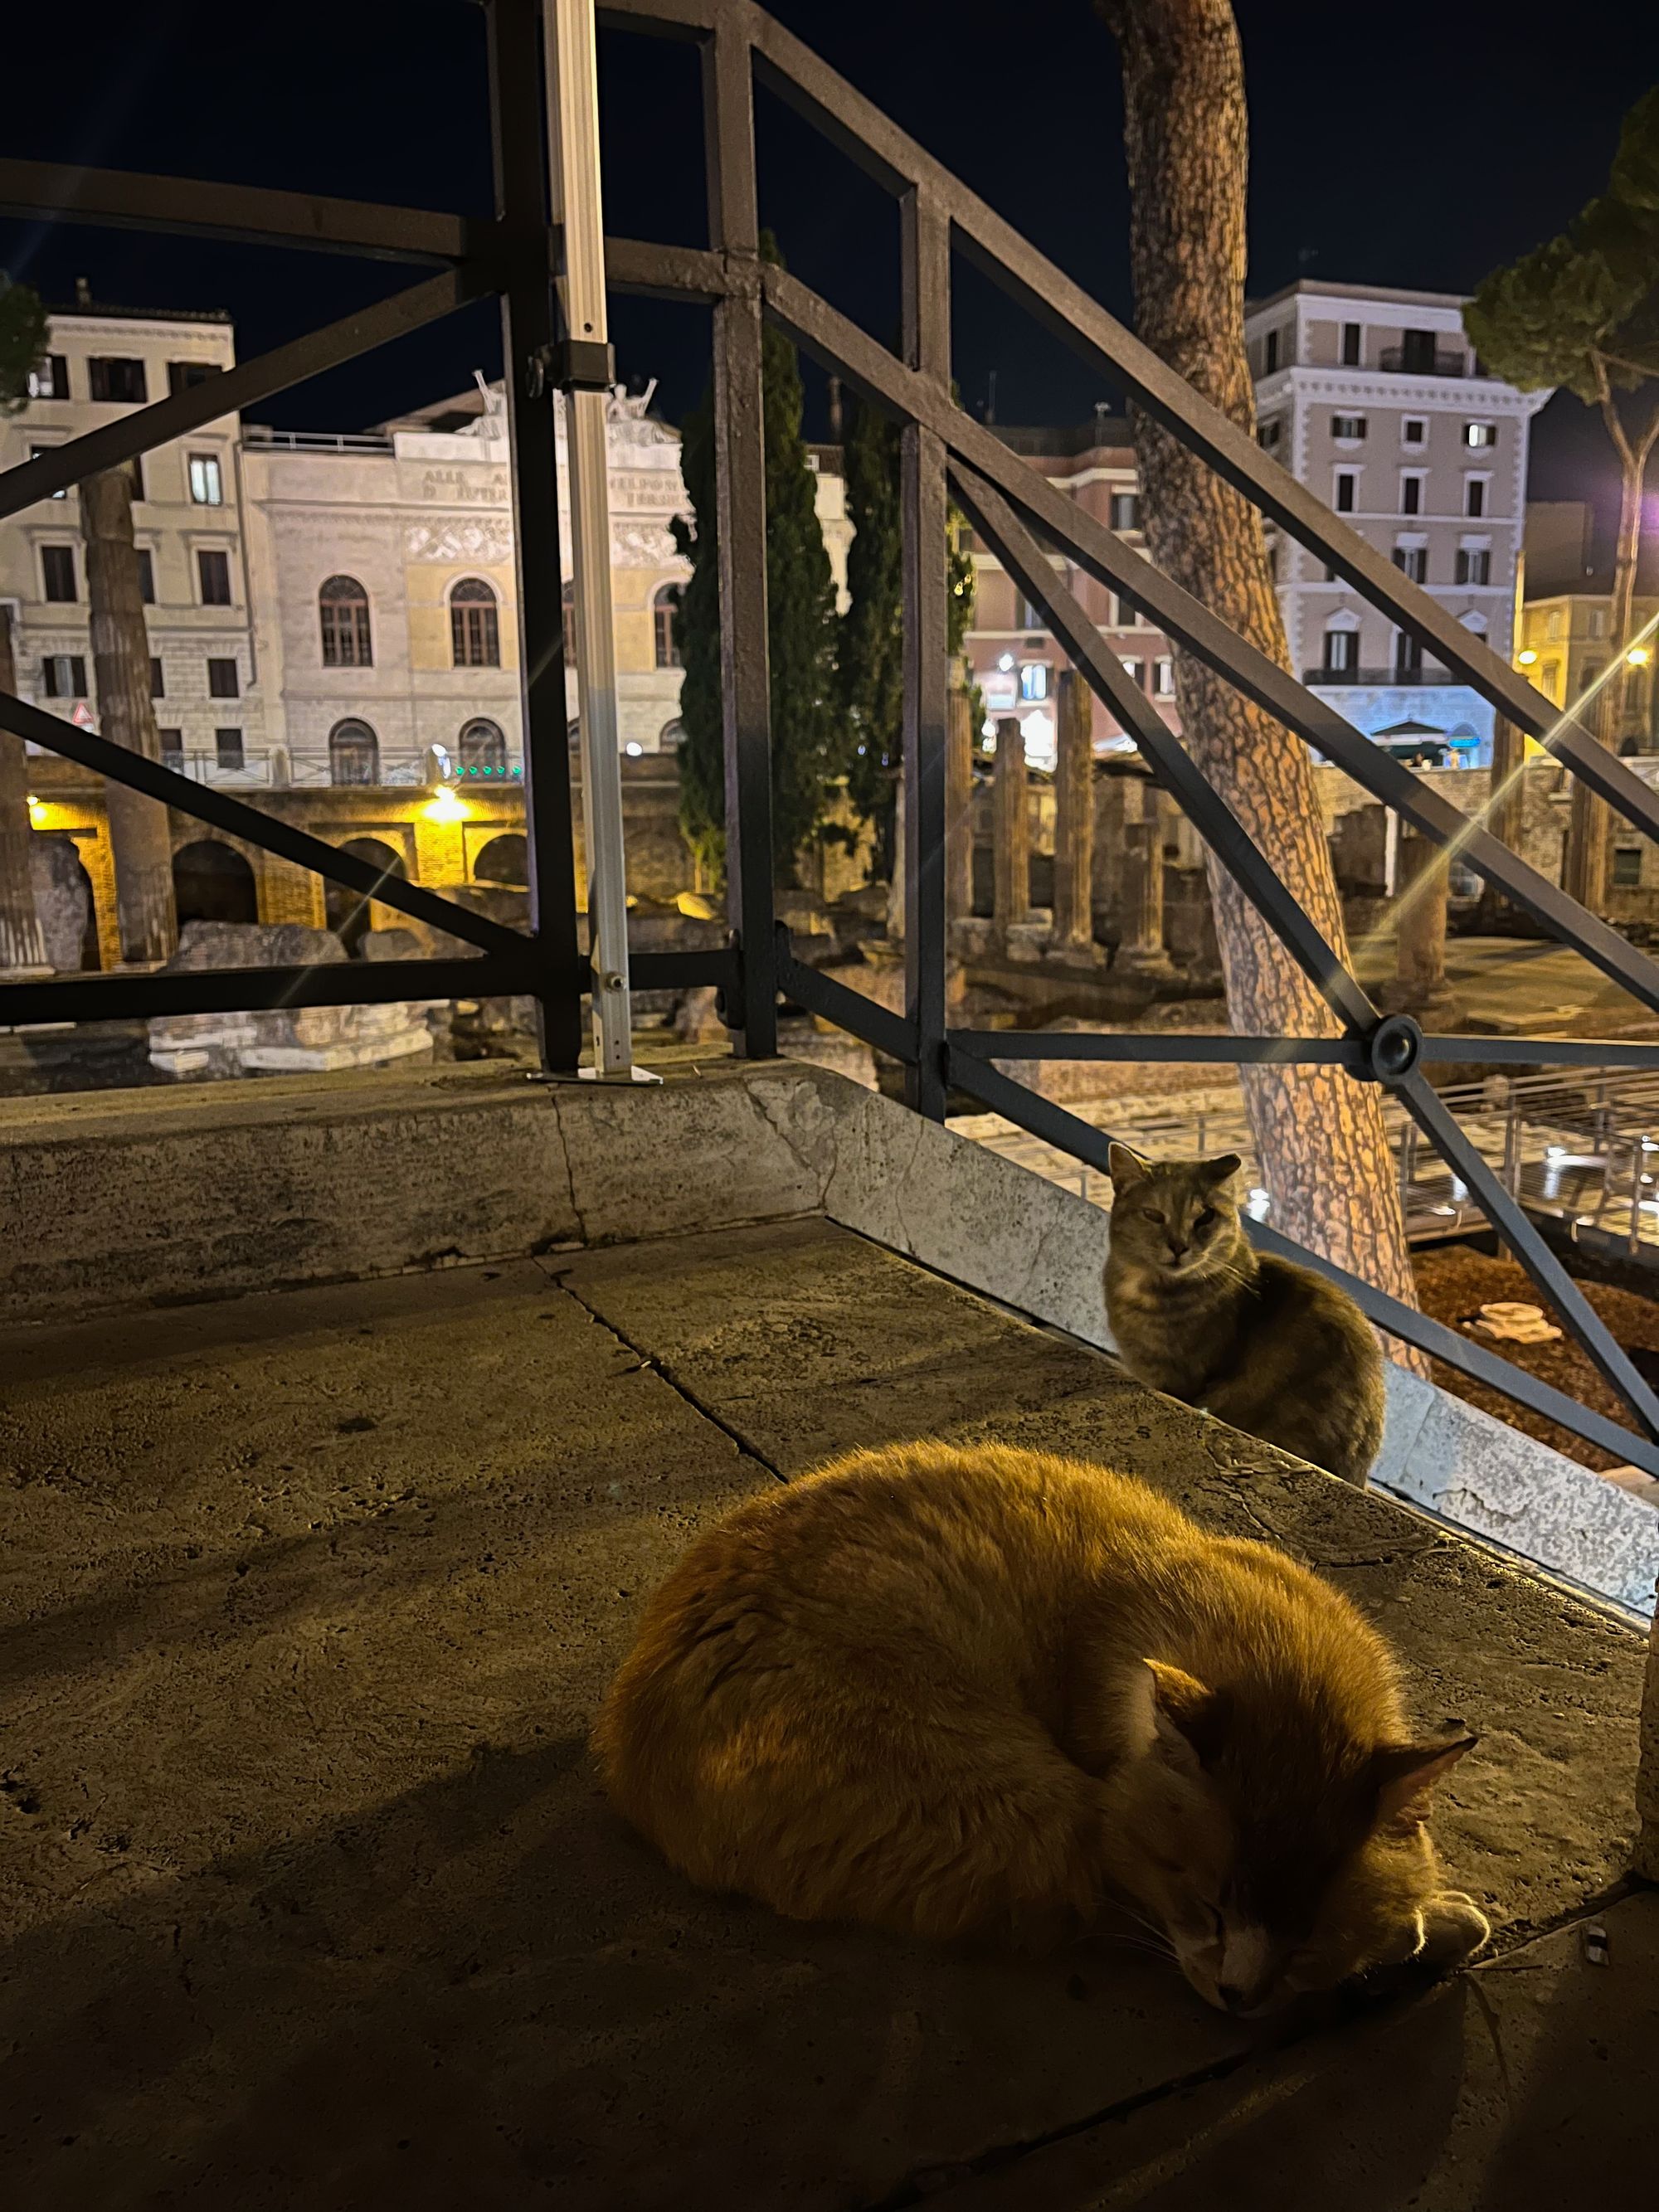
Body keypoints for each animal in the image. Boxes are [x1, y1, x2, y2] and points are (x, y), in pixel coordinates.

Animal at [601, 1441, 1495, 2017]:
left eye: (1304, 1938)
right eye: (1207, 1905)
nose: (1239, 2000)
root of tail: (628, 1772)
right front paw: (1430, 1922)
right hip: (1034, 1809)